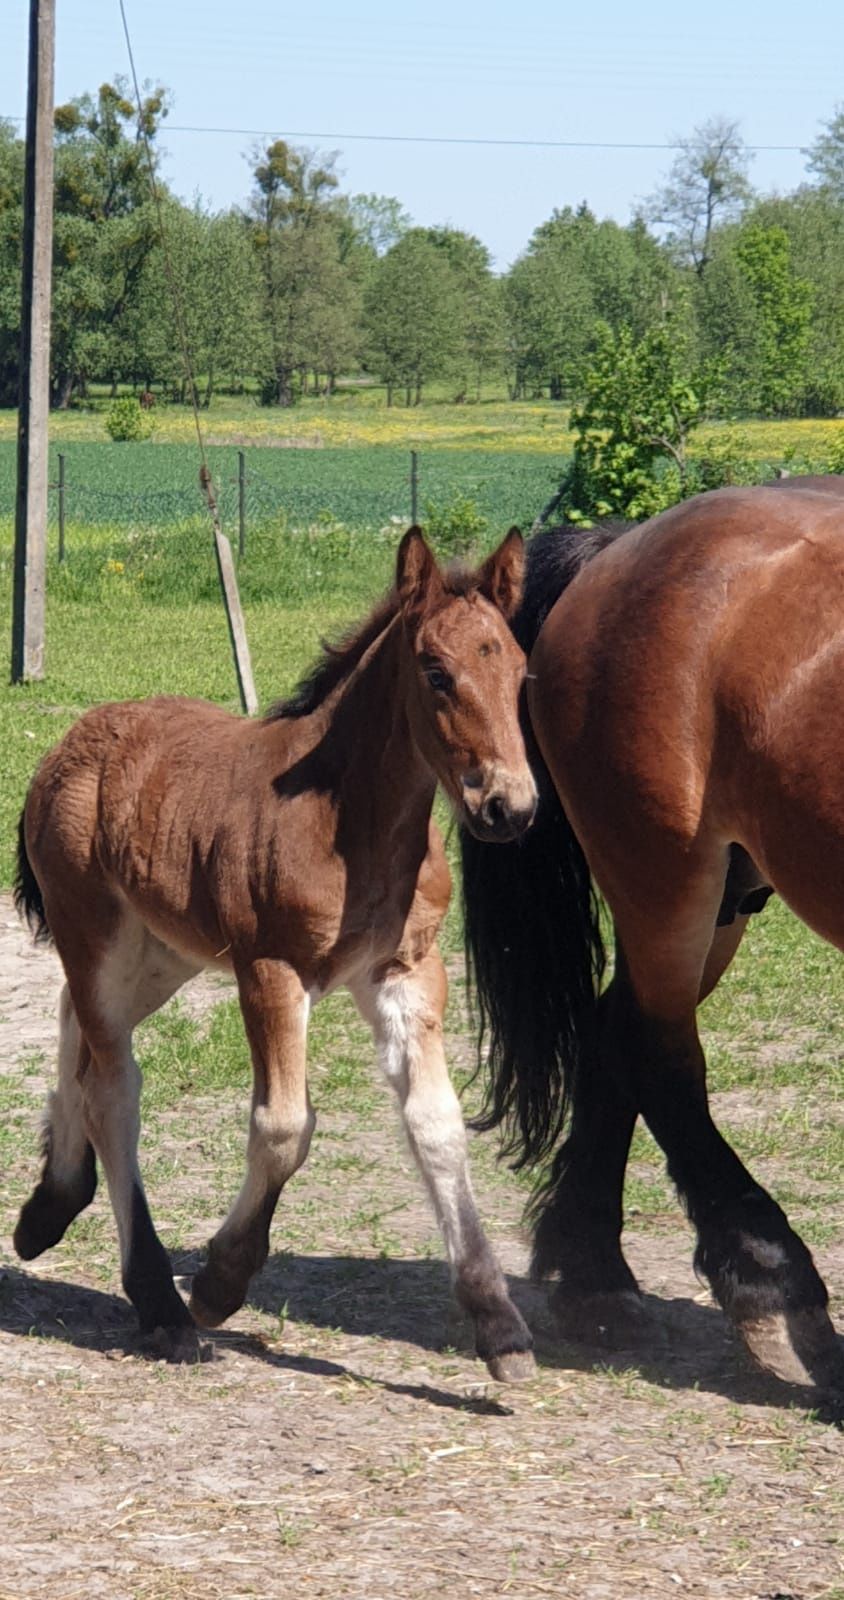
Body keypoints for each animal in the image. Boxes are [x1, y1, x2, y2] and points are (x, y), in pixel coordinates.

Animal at [13, 531, 533, 1382]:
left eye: (520, 672)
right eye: (435, 671)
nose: (508, 807)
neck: (353, 823)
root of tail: (67, 745)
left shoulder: (406, 972)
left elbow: (436, 1122)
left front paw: (498, 1323)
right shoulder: (270, 970)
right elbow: (286, 1123)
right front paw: (220, 1280)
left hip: (161, 951)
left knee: (75, 1029)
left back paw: (50, 1205)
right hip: (97, 933)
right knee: (112, 1088)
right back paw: (160, 1305)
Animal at [460, 476, 844, 1401]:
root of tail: (624, 544)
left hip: (726, 894)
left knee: (616, 1030)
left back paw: (595, 1279)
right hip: (669, 880)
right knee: (657, 1052)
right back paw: (775, 1287)